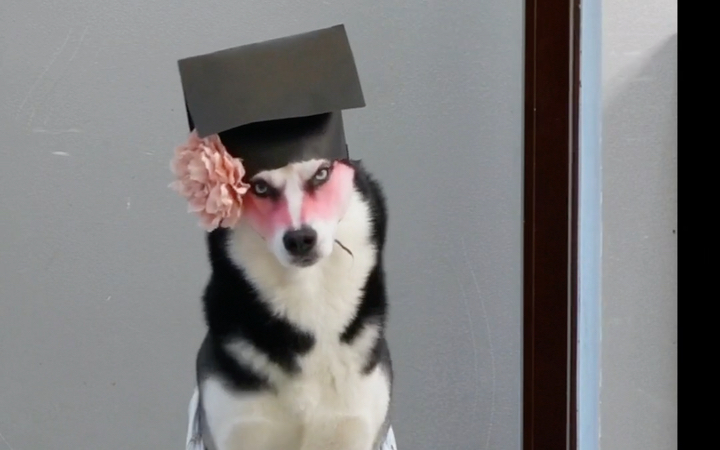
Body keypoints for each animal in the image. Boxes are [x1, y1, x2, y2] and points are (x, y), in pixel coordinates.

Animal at [184, 157, 396, 450]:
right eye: (260, 187)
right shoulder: (235, 429)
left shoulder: (358, 428)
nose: (299, 239)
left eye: (321, 174)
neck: (309, 301)